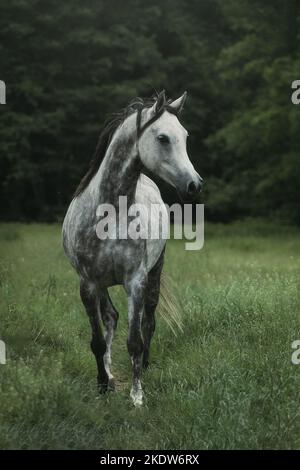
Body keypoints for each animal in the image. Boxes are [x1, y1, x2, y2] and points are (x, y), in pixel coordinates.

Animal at [61, 90, 203, 406]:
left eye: (186, 136)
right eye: (163, 138)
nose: (194, 185)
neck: (109, 213)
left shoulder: (135, 281)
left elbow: (135, 340)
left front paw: (137, 395)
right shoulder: (87, 283)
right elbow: (97, 340)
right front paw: (103, 384)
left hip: (155, 272)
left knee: (148, 321)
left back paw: (145, 366)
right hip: (102, 284)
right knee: (111, 318)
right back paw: (110, 371)